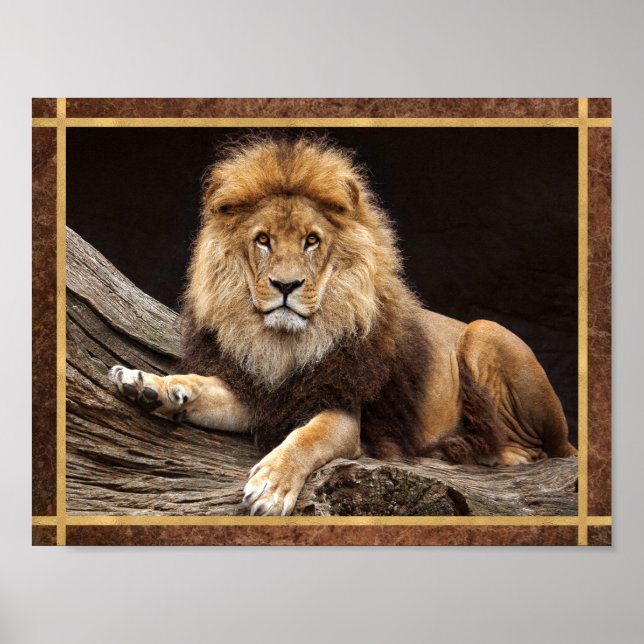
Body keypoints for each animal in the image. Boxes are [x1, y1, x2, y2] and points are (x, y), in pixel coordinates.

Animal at [109, 134, 576, 516]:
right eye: (263, 240)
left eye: (311, 241)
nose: (285, 285)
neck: (285, 344)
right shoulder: (266, 395)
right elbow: (203, 386)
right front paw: (149, 384)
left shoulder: (343, 411)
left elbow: (307, 438)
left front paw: (271, 487)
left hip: (483, 332)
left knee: (538, 451)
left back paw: (474, 450)